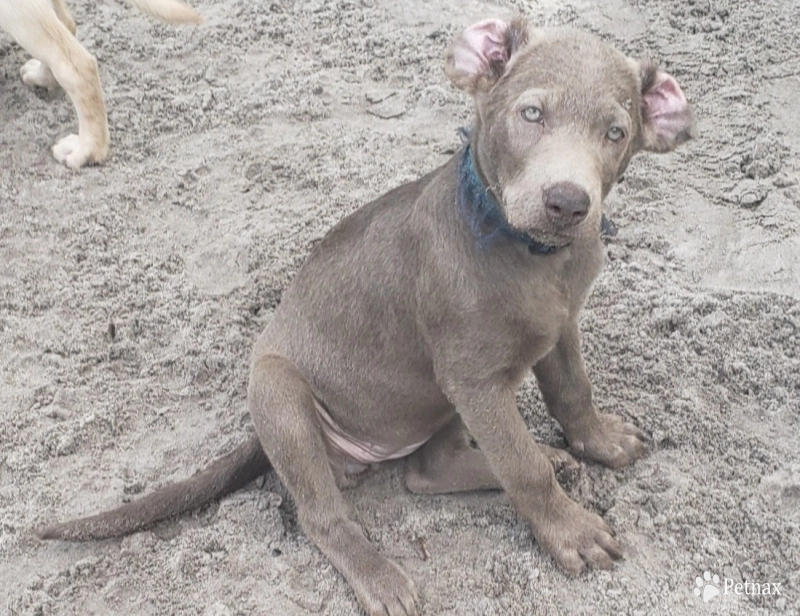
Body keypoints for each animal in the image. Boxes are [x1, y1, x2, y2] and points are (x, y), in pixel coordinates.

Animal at [36, 18, 692, 616]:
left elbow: (572, 393)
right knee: (324, 517)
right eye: (532, 114)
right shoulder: (476, 381)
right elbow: (522, 466)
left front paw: (597, 441)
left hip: (433, 401)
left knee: (425, 471)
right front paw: (571, 532)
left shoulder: (559, 331)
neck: (533, 255)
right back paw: (379, 576)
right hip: (282, 396)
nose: (567, 203)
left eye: (616, 132)